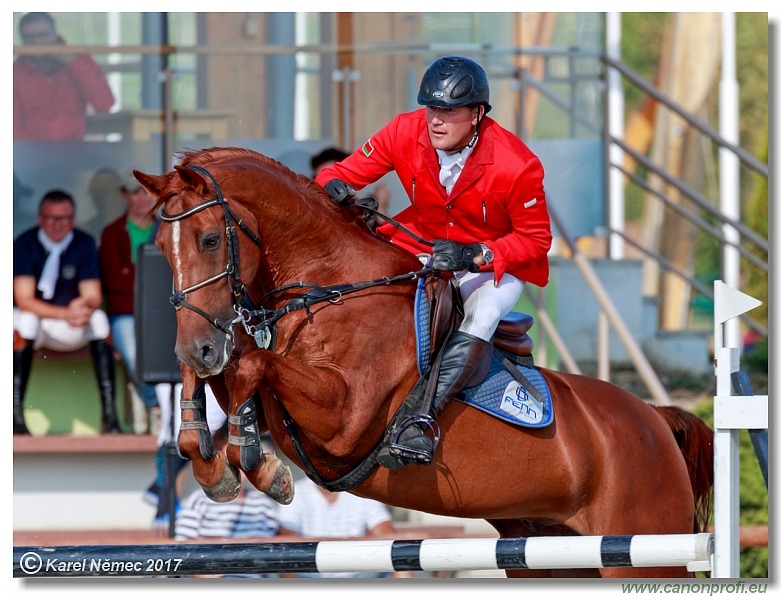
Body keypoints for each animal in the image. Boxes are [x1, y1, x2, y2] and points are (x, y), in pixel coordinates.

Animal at [136, 148, 712, 580]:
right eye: (161, 246)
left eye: (210, 239)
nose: (196, 346)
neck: (330, 289)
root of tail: (655, 418)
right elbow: (231, 371)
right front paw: (212, 459)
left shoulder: (343, 421)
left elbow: (250, 366)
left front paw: (263, 467)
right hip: (551, 555)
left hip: (642, 551)